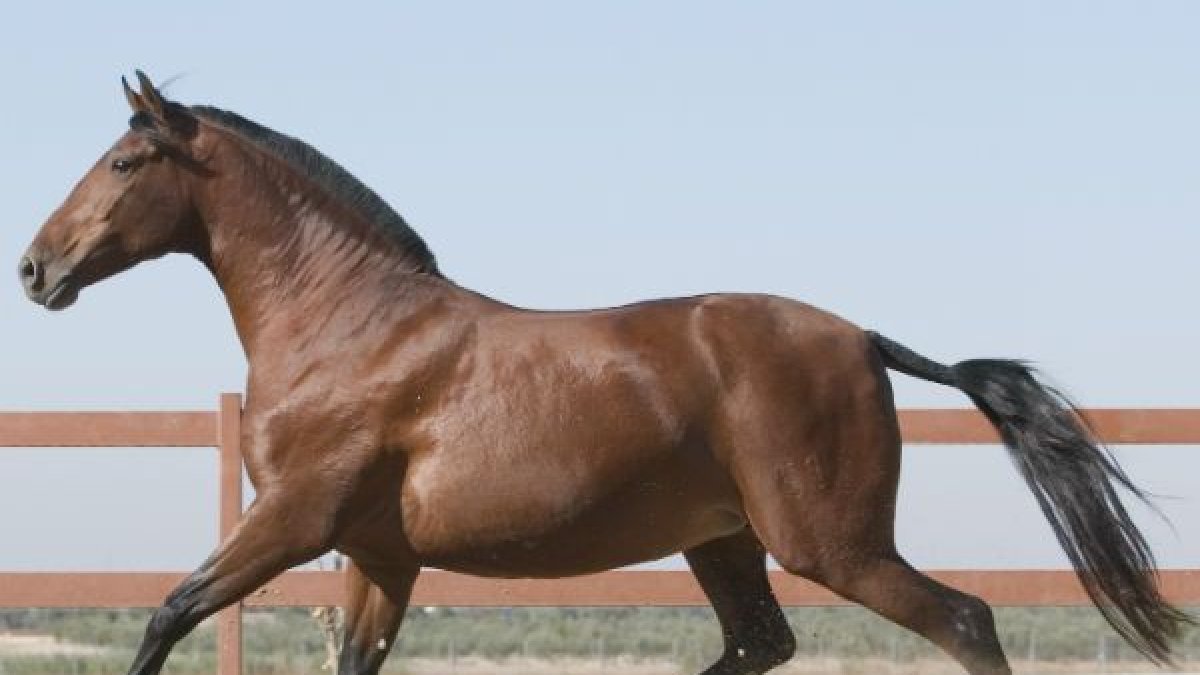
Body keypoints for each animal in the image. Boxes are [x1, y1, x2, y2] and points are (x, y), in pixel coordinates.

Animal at [18, 72, 1188, 675]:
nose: (34, 269)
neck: (351, 328)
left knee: (964, 622)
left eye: (125, 162)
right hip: (725, 540)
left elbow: (168, 613)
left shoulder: (294, 522)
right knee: (762, 644)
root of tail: (863, 337)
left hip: (833, 543)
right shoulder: (377, 555)